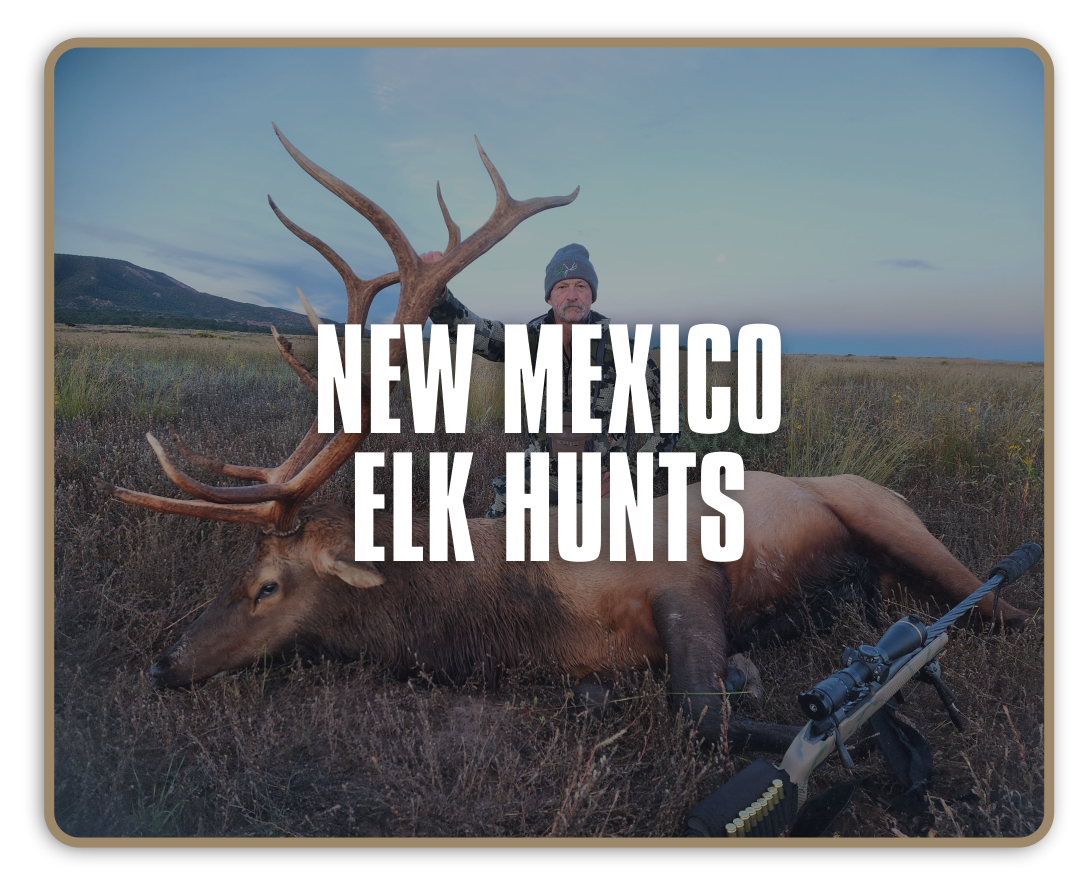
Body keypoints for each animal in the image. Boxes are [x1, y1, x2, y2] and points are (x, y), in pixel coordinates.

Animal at [99, 125, 1035, 754]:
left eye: (265, 585)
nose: (162, 663)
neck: (523, 610)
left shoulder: (687, 577)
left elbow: (701, 712)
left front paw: (789, 698)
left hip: (891, 521)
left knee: (1003, 606)